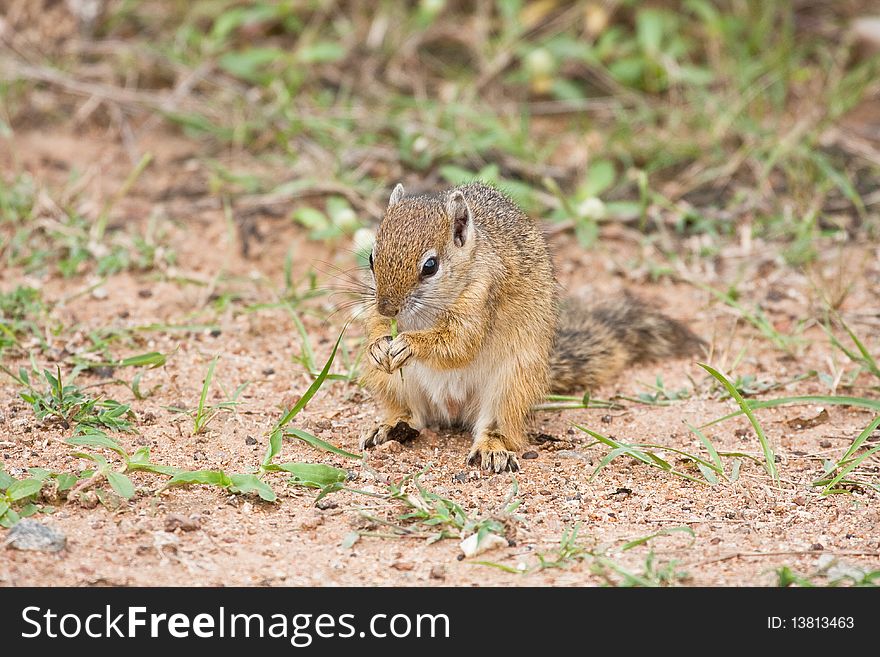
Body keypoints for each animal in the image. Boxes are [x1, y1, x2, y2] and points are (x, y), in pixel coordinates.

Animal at [358, 182, 700, 474]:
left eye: (430, 266)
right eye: (372, 258)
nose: (387, 308)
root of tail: (452, 411)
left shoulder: (484, 295)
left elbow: (459, 344)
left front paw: (409, 344)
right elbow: (374, 324)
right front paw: (377, 345)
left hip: (511, 385)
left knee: (499, 427)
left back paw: (492, 448)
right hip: (394, 385)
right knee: (413, 415)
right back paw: (393, 427)